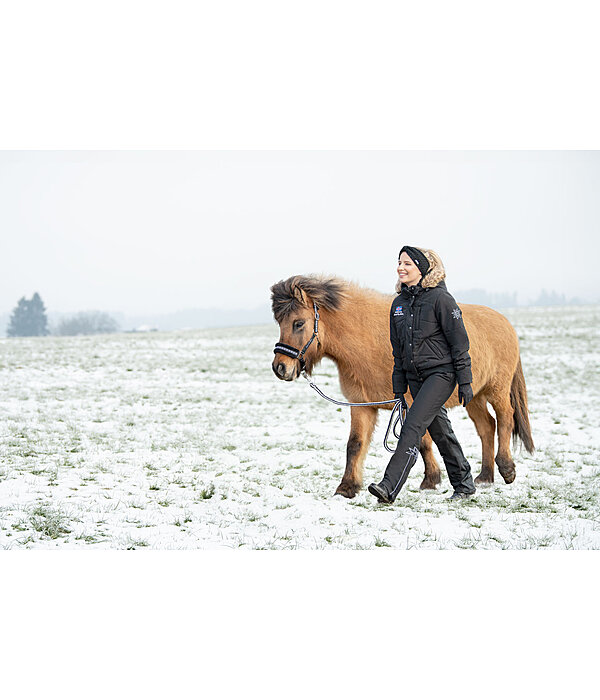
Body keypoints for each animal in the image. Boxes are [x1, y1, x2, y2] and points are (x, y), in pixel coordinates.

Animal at [270, 274, 532, 498]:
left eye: (298, 323)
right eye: (280, 323)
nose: (280, 367)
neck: (368, 343)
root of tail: (505, 323)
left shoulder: (413, 401)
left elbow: (422, 441)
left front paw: (430, 480)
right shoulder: (363, 405)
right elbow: (355, 444)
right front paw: (347, 488)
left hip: (496, 390)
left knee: (505, 418)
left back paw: (506, 468)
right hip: (473, 396)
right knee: (487, 427)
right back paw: (485, 477)